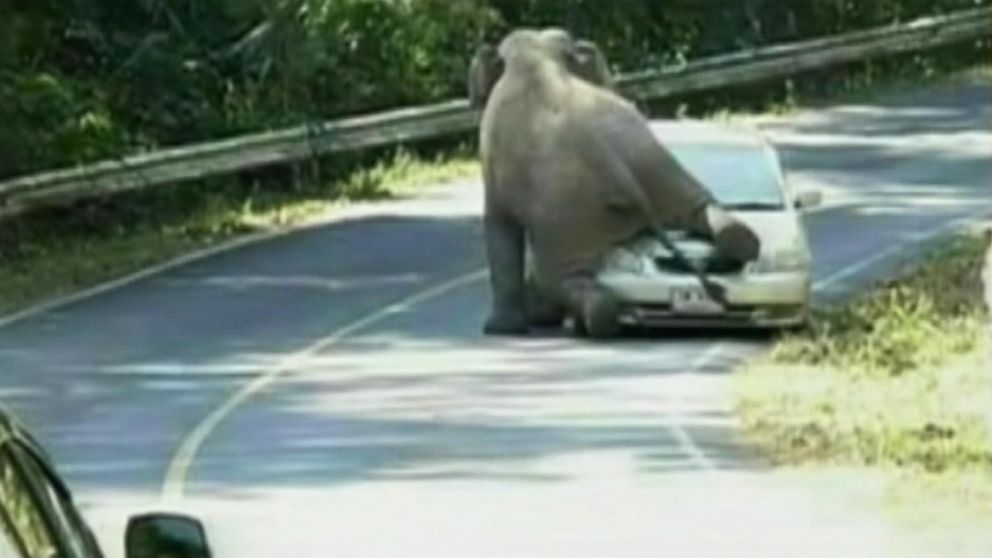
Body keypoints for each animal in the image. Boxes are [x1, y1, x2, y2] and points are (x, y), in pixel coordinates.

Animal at [470, 29, 760, 336]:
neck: (537, 55)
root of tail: (615, 166)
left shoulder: (494, 162)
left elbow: (499, 226)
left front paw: (498, 330)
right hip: (656, 165)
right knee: (701, 206)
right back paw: (740, 240)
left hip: (567, 214)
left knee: (561, 278)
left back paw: (588, 321)